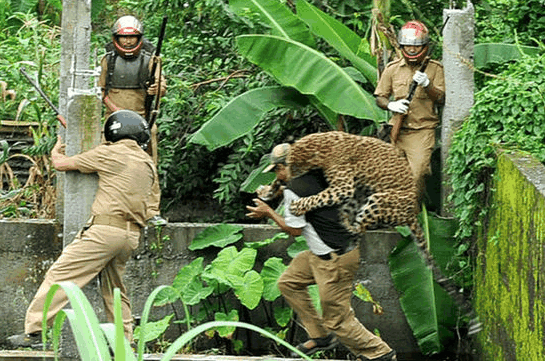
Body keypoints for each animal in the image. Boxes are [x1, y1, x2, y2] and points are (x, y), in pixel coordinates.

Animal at [282, 131, 478, 334]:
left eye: (292, 165)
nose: (286, 178)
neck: (322, 144)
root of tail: (412, 214)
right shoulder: (348, 188)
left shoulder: (343, 188)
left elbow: (320, 197)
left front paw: (297, 206)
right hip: (361, 193)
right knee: (355, 225)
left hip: (378, 198)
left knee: (359, 227)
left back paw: (346, 226)